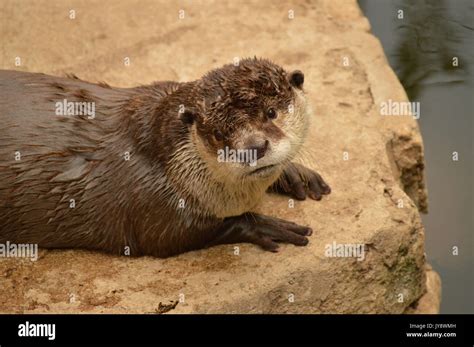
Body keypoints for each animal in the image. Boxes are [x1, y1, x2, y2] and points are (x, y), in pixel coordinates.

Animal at [0, 57, 330, 258]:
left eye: (270, 112)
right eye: (218, 134)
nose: (253, 147)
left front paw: (295, 174)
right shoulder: (152, 201)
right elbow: (176, 235)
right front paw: (266, 225)